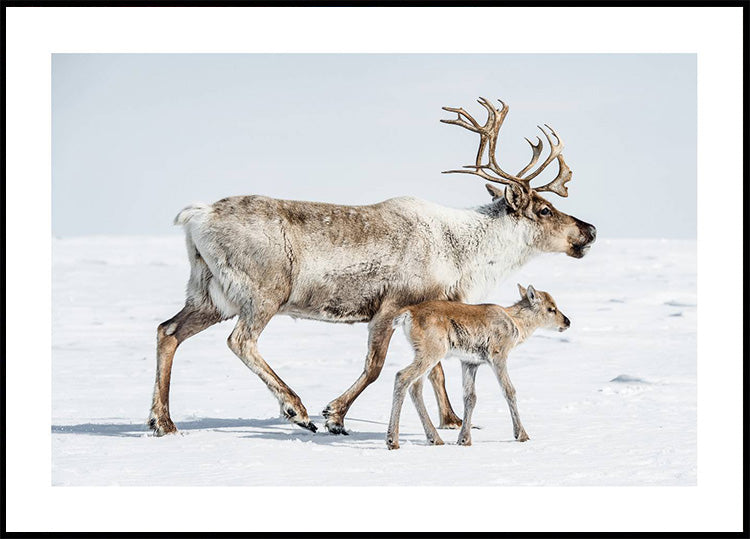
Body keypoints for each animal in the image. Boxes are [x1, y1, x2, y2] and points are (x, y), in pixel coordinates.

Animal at [388, 284, 568, 450]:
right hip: (432, 352)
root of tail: (408, 313)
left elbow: (470, 397)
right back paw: (392, 441)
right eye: (551, 309)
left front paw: (464, 439)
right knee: (401, 376)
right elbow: (509, 391)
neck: (516, 324)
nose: (567, 322)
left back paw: (435, 439)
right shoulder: (498, 356)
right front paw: (521, 435)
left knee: (416, 387)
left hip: (425, 355)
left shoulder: (470, 362)